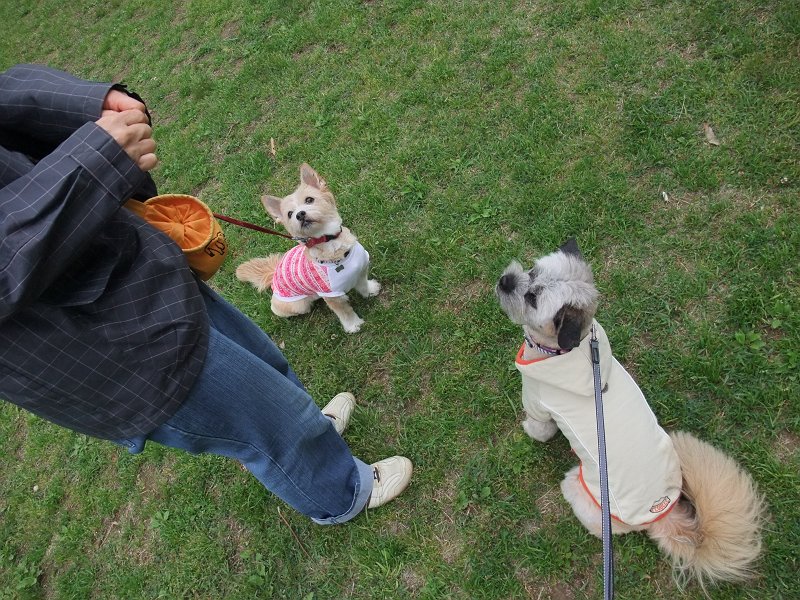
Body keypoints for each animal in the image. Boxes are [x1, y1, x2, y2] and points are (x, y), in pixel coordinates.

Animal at [236, 164, 380, 333]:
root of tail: (273, 274)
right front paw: (353, 325)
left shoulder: (361, 270)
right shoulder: (333, 296)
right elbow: (345, 311)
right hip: (297, 305)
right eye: (290, 214)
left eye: (309, 199)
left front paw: (370, 291)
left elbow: (363, 286)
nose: (300, 215)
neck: (330, 244)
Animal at [496, 239, 765, 590]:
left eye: (532, 298)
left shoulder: (538, 405)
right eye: (532, 270)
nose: (505, 280)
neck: (569, 349)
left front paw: (527, 429)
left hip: (581, 492)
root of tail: (663, 514)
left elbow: (538, 429)